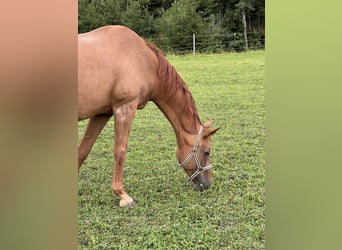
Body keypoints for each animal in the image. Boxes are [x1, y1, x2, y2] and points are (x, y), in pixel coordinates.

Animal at [78, 26, 219, 208]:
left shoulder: (102, 113)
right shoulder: (125, 108)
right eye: (206, 152)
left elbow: (83, 150)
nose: (207, 184)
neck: (144, 59)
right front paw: (123, 195)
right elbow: (120, 151)